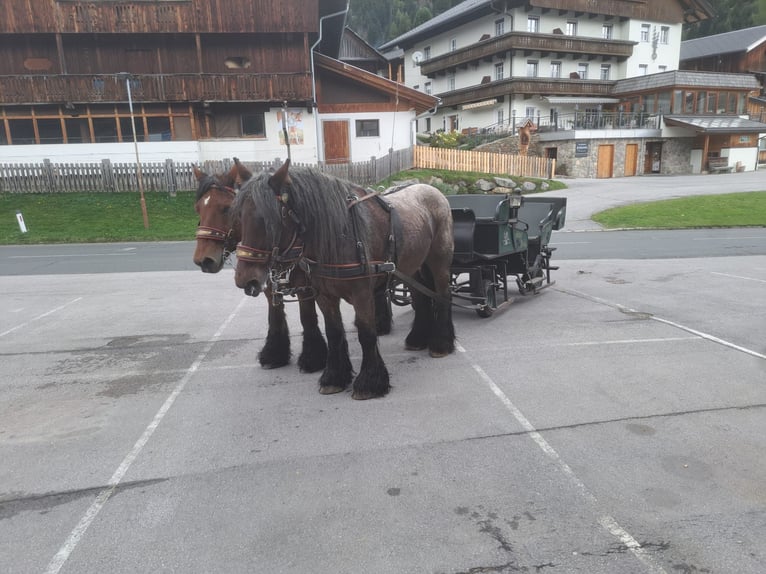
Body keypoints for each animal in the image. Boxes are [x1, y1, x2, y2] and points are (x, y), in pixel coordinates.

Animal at [194, 160, 328, 374]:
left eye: (226, 209)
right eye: (198, 208)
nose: (203, 260)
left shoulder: (305, 287)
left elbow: (307, 317)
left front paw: (313, 358)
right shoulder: (267, 283)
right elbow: (274, 315)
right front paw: (274, 353)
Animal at [234, 159, 456, 400]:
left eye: (270, 221)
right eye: (239, 215)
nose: (244, 279)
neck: (341, 235)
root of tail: (434, 191)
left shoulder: (362, 294)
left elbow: (366, 333)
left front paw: (370, 382)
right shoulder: (324, 295)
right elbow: (334, 332)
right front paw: (334, 377)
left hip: (439, 261)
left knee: (443, 295)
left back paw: (442, 343)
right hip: (413, 265)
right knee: (420, 298)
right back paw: (417, 339)